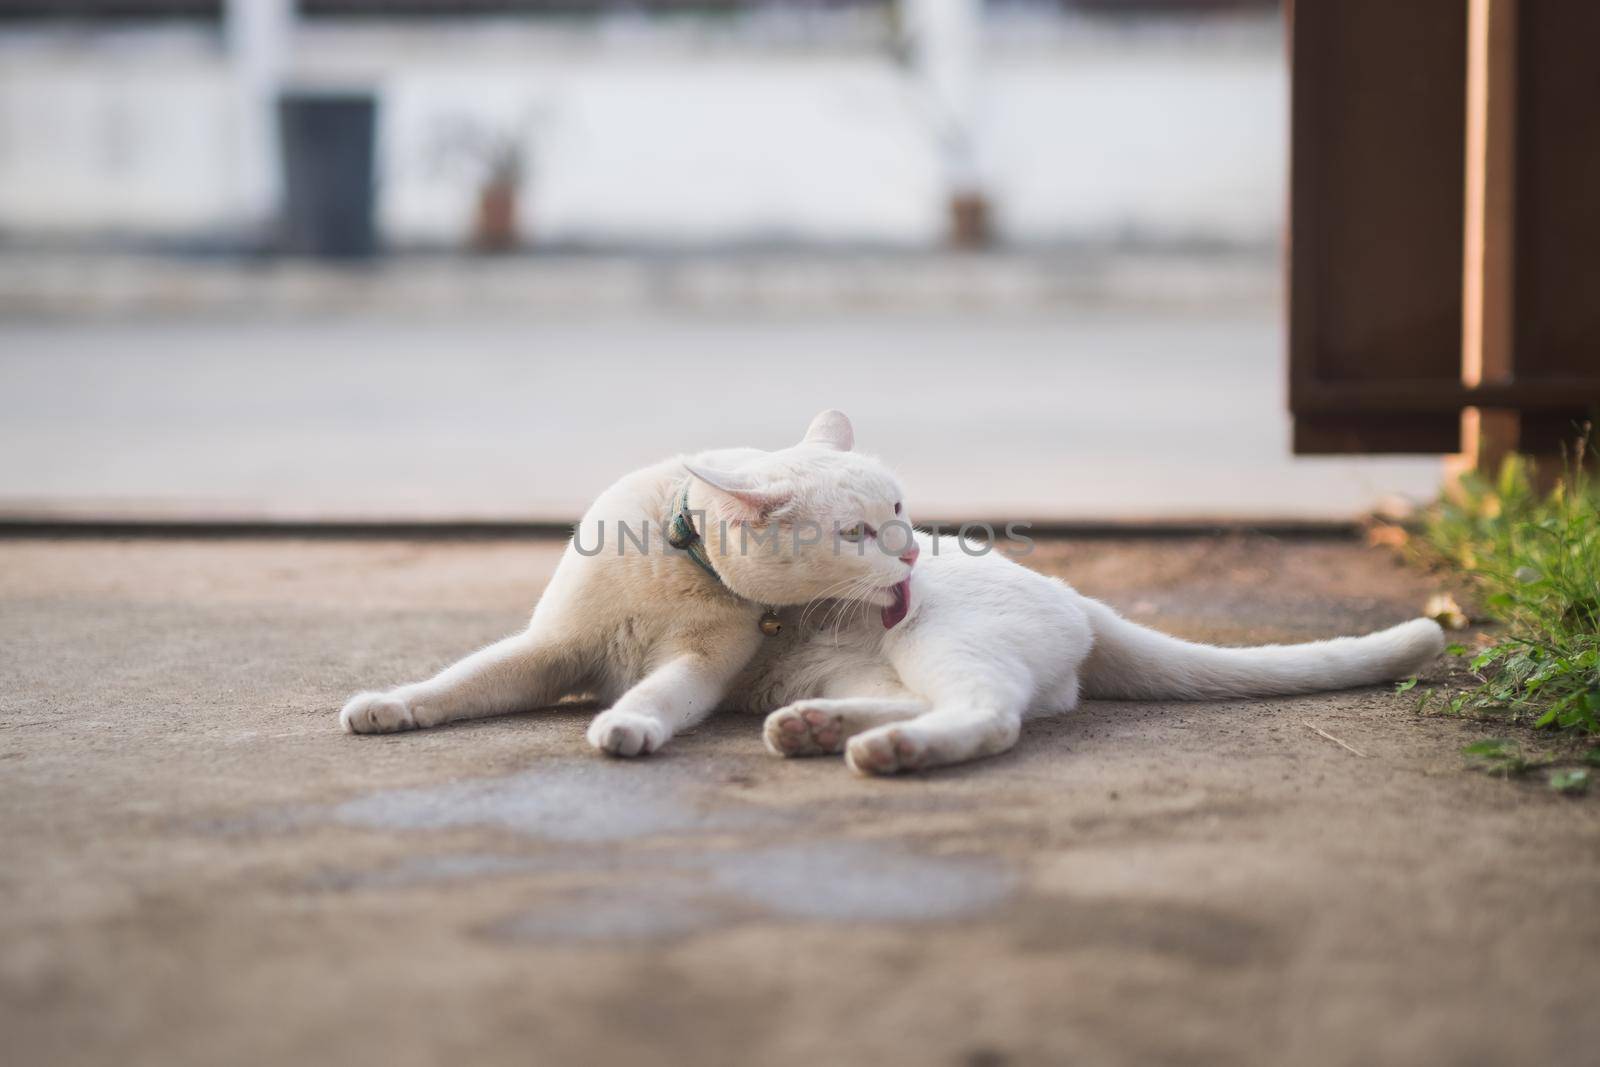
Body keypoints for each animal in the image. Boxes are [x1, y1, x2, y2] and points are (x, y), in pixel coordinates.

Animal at [340, 412, 1452, 777]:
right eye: (856, 530)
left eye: (903, 509)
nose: (913, 552)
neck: (675, 557)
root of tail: (1078, 596)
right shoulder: (550, 646)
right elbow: (464, 677)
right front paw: (386, 705)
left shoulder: (701, 665)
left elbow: (656, 694)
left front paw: (627, 727)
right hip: (845, 661)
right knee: (956, 704)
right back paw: (816, 730)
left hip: (933, 642)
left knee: (993, 715)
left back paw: (885, 753)